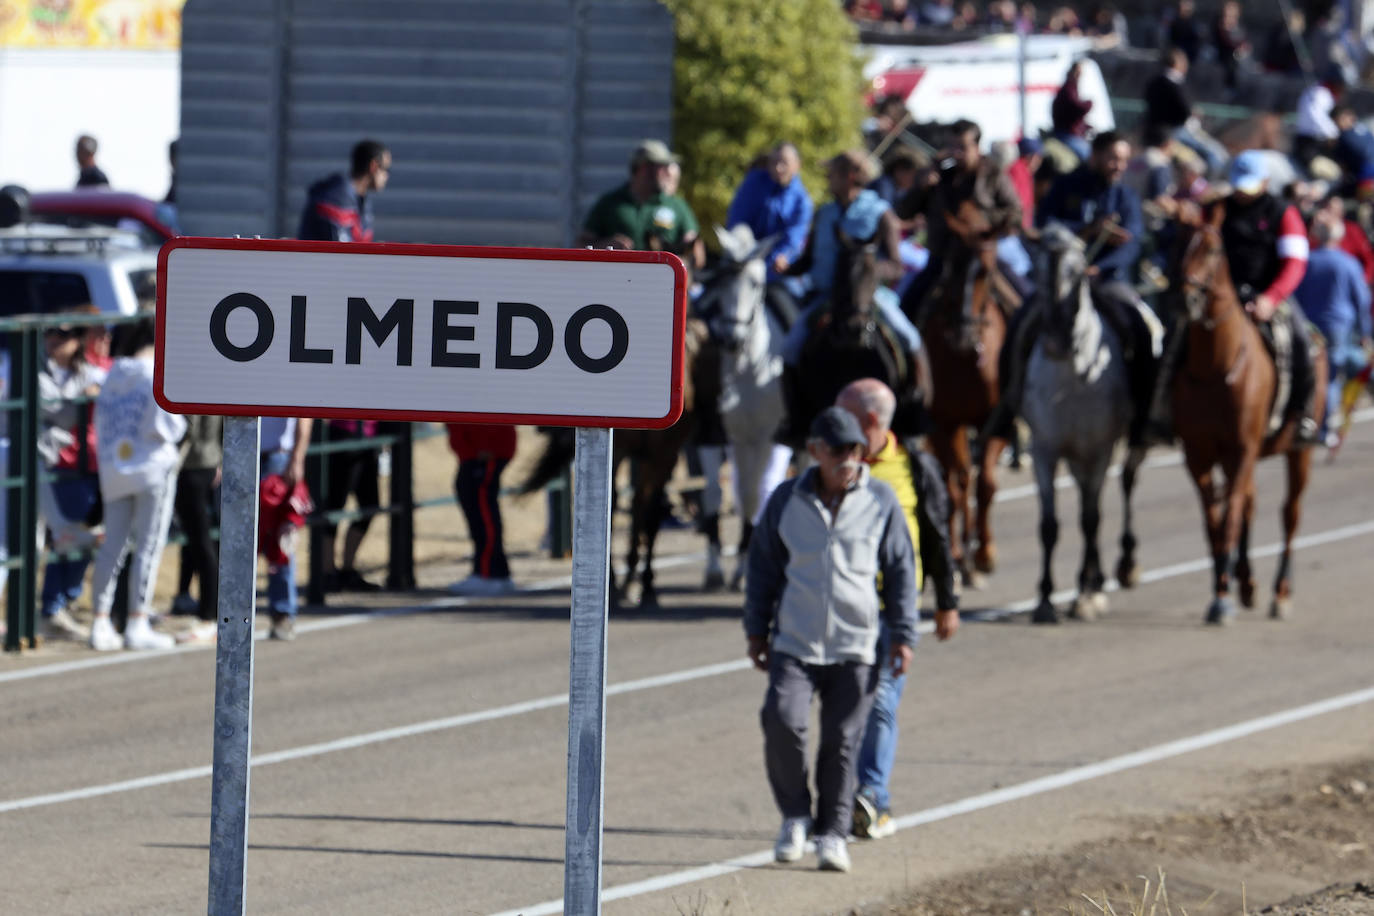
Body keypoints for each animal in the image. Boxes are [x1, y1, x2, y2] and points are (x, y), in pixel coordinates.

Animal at [697, 225, 796, 590]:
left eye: (756, 283)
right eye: (719, 284)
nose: (731, 338)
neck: (747, 367)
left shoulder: (767, 436)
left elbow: (754, 496)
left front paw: (742, 569)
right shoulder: (712, 433)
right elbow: (714, 493)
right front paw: (714, 568)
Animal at [917, 199, 1016, 587]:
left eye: (986, 272)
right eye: (949, 268)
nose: (962, 336)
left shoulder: (997, 421)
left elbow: (985, 483)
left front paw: (986, 554)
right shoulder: (944, 424)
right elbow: (955, 488)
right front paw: (961, 557)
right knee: (956, 480)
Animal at [1022, 223, 1148, 623]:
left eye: (1078, 272)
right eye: (1035, 272)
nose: (1057, 340)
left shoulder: (1100, 450)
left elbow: (1090, 519)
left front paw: (1085, 595)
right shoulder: (1043, 450)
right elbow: (1049, 526)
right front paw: (1045, 599)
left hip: (1122, 448)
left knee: (1123, 486)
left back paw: (1119, 568)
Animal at [1170, 205, 1330, 623]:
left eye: (1212, 248)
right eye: (1176, 240)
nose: (1187, 298)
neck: (1216, 367)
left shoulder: (1242, 449)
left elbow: (1229, 519)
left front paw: (1224, 597)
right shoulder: (1200, 455)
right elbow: (1216, 522)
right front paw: (1223, 588)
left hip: (1298, 453)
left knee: (1289, 514)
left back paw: (1280, 591)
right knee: (1249, 506)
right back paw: (1246, 582)